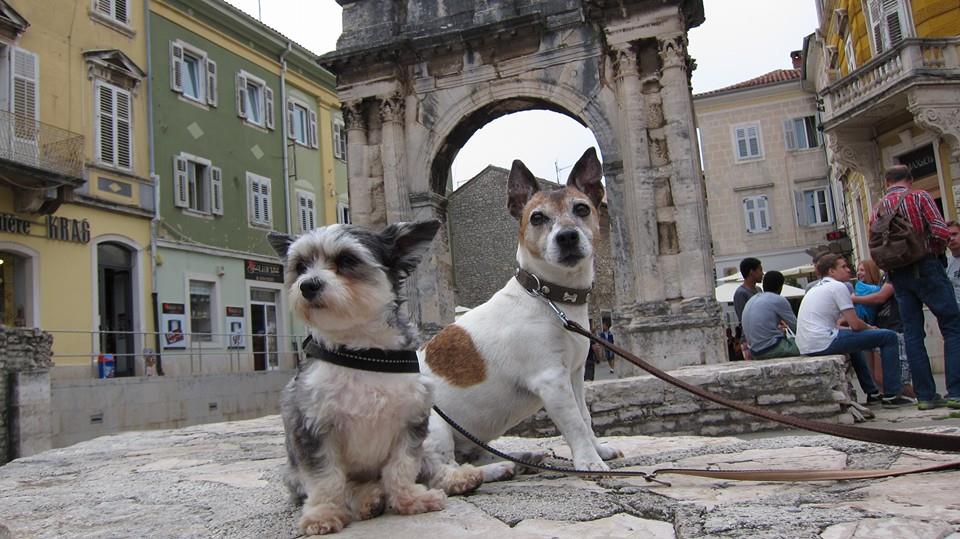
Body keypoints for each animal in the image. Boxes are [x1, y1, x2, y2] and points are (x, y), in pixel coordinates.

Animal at [267, 220, 467, 535]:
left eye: (347, 260)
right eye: (300, 266)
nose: (308, 285)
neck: (362, 353)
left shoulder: (411, 421)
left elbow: (402, 467)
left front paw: (410, 499)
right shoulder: (312, 428)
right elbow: (326, 479)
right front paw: (323, 514)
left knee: (430, 463)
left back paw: (459, 477)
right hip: (292, 474)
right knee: (349, 485)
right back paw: (366, 499)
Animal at [419, 148, 622, 492]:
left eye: (581, 209)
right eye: (537, 217)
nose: (567, 237)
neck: (549, 298)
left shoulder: (575, 375)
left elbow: (585, 416)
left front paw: (598, 450)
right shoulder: (552, 380)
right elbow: (575, 425)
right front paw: (590, 462)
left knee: (469, 458)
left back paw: (522, 458)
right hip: (433, 424)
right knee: (445, 474)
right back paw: (496, 470)